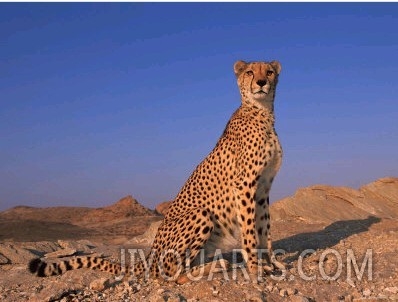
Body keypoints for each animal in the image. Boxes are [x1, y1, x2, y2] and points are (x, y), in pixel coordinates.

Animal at [30, 59, 286, 284]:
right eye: (250, 72)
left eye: (269, 72)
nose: (261, 82)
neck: (262, 112)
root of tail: (150, 255)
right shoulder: (244, 185)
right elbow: (250, 232)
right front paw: (255, 268)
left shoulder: (263, 188)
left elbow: (264, 229)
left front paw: (270, 263)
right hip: (200, 214)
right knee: (171, 273)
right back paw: (215, 266)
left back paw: (217, 264)